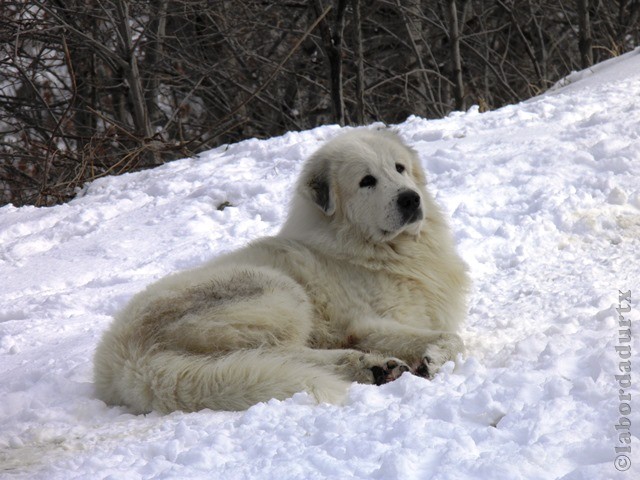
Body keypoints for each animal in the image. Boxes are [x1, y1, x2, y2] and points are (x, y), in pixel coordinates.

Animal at [92, 128, 468, 412]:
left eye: (399, 167)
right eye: (367, 181)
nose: (410, 199)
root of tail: (124, 361)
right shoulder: (364, 323)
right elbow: (453, 338)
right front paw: (433, 358)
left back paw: (375, 368)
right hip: (277, 291)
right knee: (272, 354)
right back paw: (366, 365)